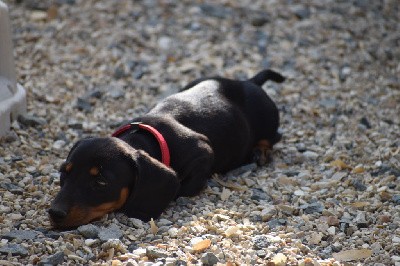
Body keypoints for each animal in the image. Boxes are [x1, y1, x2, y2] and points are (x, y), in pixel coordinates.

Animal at [48, 69, 284, 229]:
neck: (147, 137)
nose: (54, 213)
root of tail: (250, 82)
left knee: (273, 137)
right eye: (64, 173)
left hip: (267, 119)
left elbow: (182, 187)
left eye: (101, 181)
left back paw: (260, 152)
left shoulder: (203, 152)